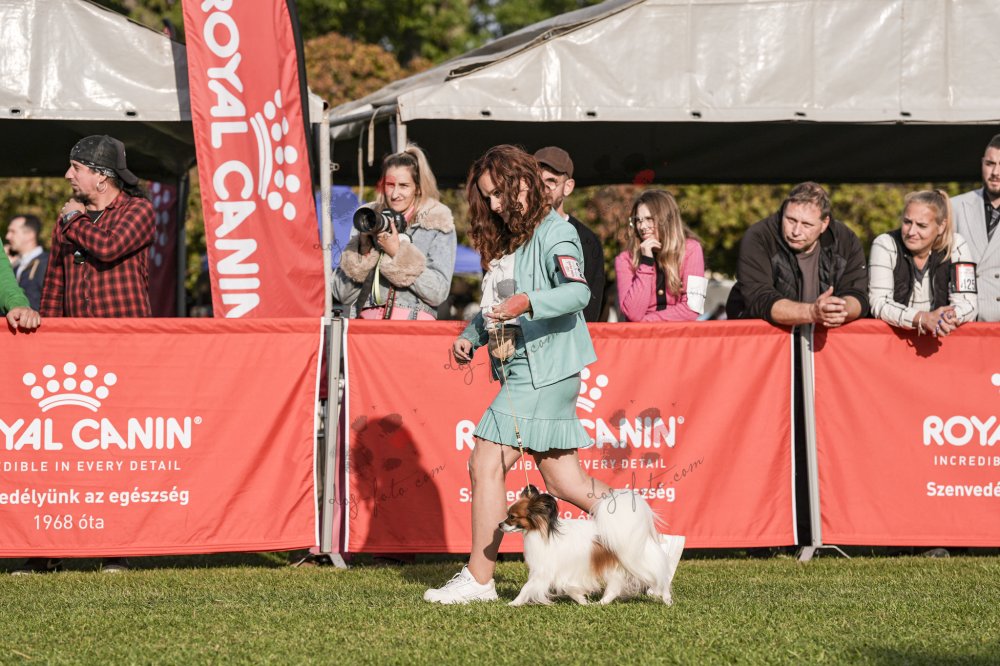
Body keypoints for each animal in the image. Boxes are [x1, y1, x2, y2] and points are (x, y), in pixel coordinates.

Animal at [499, 485, 684, 606]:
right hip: (615, 568)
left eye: (512, 517)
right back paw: (601, 603)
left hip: (640, 564)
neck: (543, 531)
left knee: (662, 580)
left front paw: (513, 603)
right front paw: (582, 600)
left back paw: (667, 600)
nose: (499, 525)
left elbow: (526, 588)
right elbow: (570, 587)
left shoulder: (544, 572)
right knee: (614, 589)